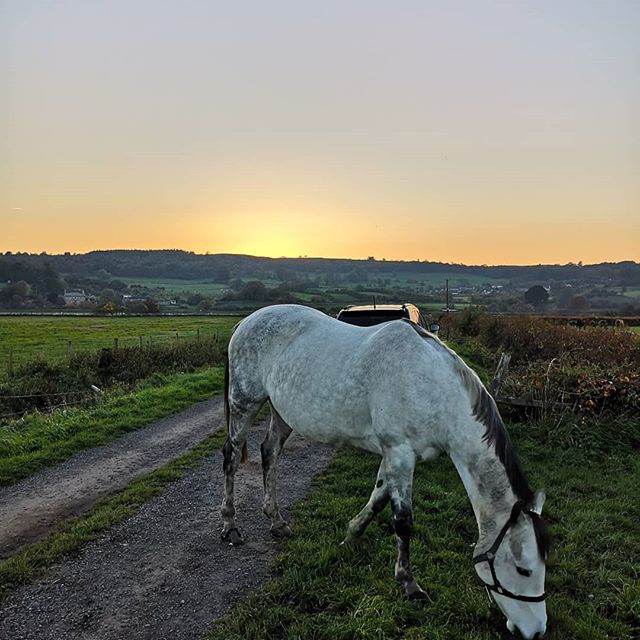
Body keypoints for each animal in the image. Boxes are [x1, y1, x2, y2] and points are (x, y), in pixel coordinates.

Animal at [221, 304, 552, 640]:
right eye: (524, 569)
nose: (536, 631)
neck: (432, 386)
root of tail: (246, 321)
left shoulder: (394, 455)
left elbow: (378, 497)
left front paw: (352, 535)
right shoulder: (400, 451)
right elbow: (402, 521)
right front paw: (409, 584)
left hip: (281, 412)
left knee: (269, 453)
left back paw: (276, 521)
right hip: (244, 403)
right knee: (231, 458)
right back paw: (230, 526)